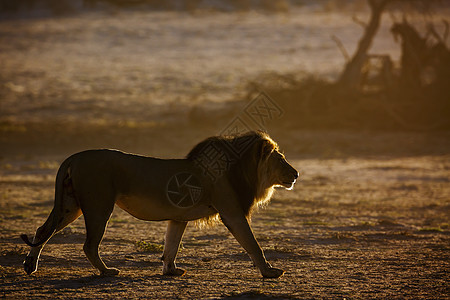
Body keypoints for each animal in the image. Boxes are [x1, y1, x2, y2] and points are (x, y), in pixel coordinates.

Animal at [22, 131, 300, 278]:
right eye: (281, 159)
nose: (296, 174)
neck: (241, 170)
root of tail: (74, 157)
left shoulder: (178, 218)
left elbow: (171, 245)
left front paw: (170, 270)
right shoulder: (231, 213)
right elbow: (253, 244)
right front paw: (269, 272)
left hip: (70, 205)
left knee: (42, 230)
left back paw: (29, 266)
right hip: (99, 206)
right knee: (89, 245)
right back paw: (107, 271)